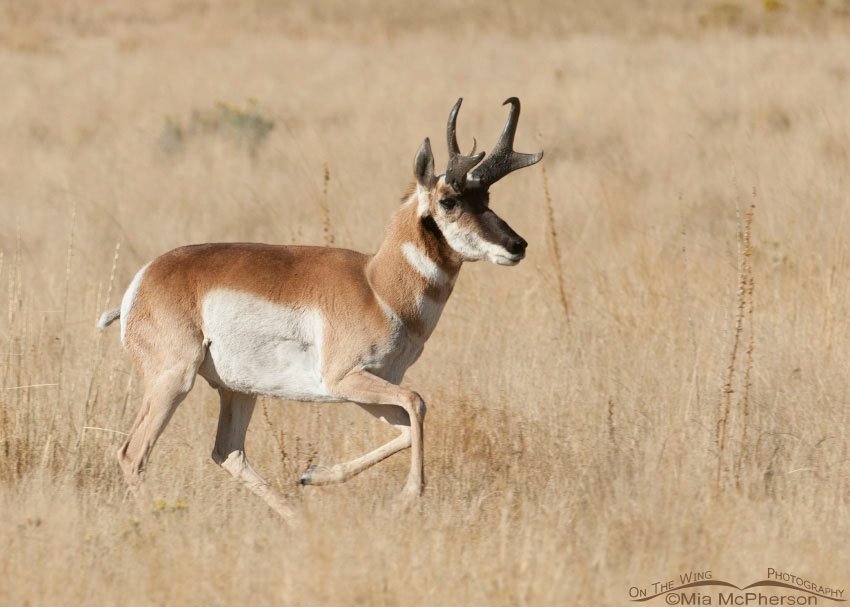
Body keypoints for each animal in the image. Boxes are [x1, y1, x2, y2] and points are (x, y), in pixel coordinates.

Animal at [97, 97, 543, 521]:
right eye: (448, 200)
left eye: (486, 197)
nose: (517, 245)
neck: (375, 283)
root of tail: (146, 279)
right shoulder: (345, 380)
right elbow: (417, 402)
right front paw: (409, 496)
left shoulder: (368, 387)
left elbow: (404, 429)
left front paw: (313, 474)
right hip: (175, 379)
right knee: (133, 453)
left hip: (237, 390)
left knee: (228, 452)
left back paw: (296, 517)